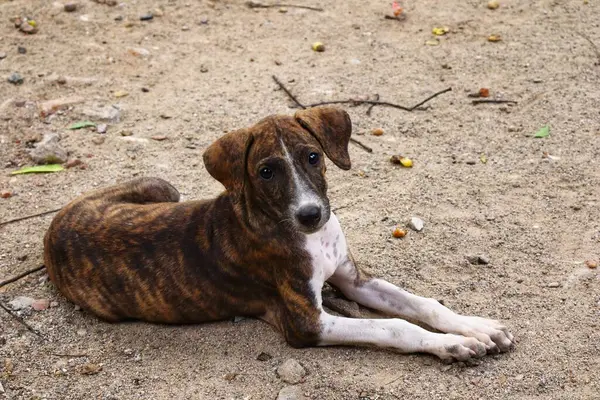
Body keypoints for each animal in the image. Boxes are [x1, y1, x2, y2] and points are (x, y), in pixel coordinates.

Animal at [45, 107, 516, 362]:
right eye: (266, 172)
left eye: (313, 157)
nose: (311, 215)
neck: (308, 238)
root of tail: (57, 221)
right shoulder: (307, 323)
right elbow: (396, 326)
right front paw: (452, 345)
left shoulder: (354, 280)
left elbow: (422, 304)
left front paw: (475, 328)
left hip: (162, 187)